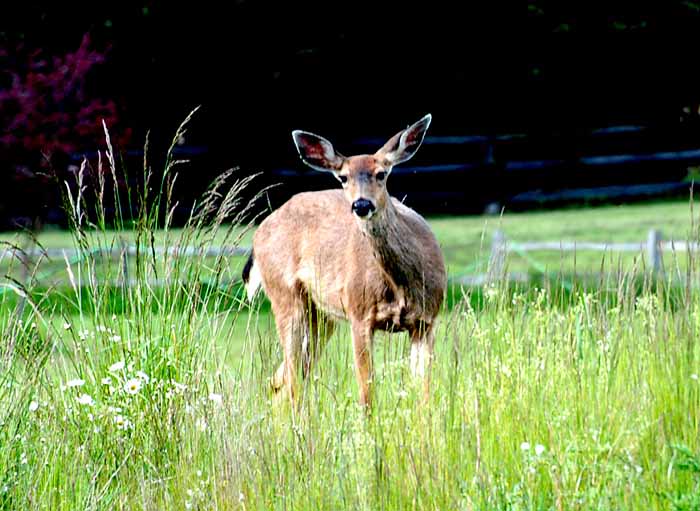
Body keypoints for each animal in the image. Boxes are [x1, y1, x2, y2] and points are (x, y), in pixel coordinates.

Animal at [243, 114, 446, 410]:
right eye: (343, 177)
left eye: (382, 173)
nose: (362, 205)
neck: (402, 288)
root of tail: (259, 235)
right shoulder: (358, 314)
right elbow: (367, 395)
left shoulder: (427, 320)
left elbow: (425, 394)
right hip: (286, 297)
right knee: (291, 380)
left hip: (320, 315)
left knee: (283, 379)